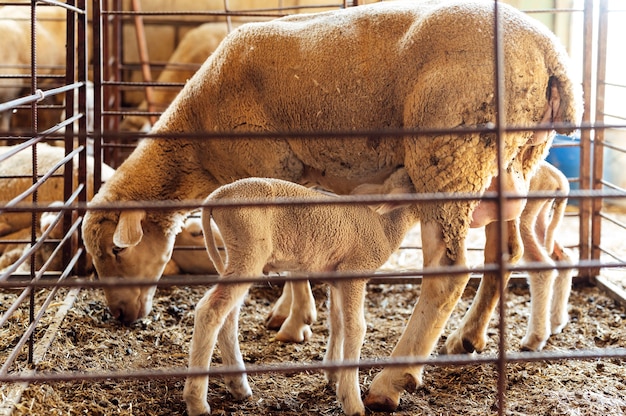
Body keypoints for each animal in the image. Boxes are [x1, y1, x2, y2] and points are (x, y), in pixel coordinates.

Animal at [81, 0, 580, 412]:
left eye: (117, 250)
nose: (120, 316)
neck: (196, 142)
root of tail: (550, 53)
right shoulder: (304, 179)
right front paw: (294, 315)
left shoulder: (271, 164)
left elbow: (295, 266)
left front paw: (296, 321)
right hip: (506, 166)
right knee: (505, 251)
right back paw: (467, 339)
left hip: (450, 153)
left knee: (448, 273)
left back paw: (389, 382)